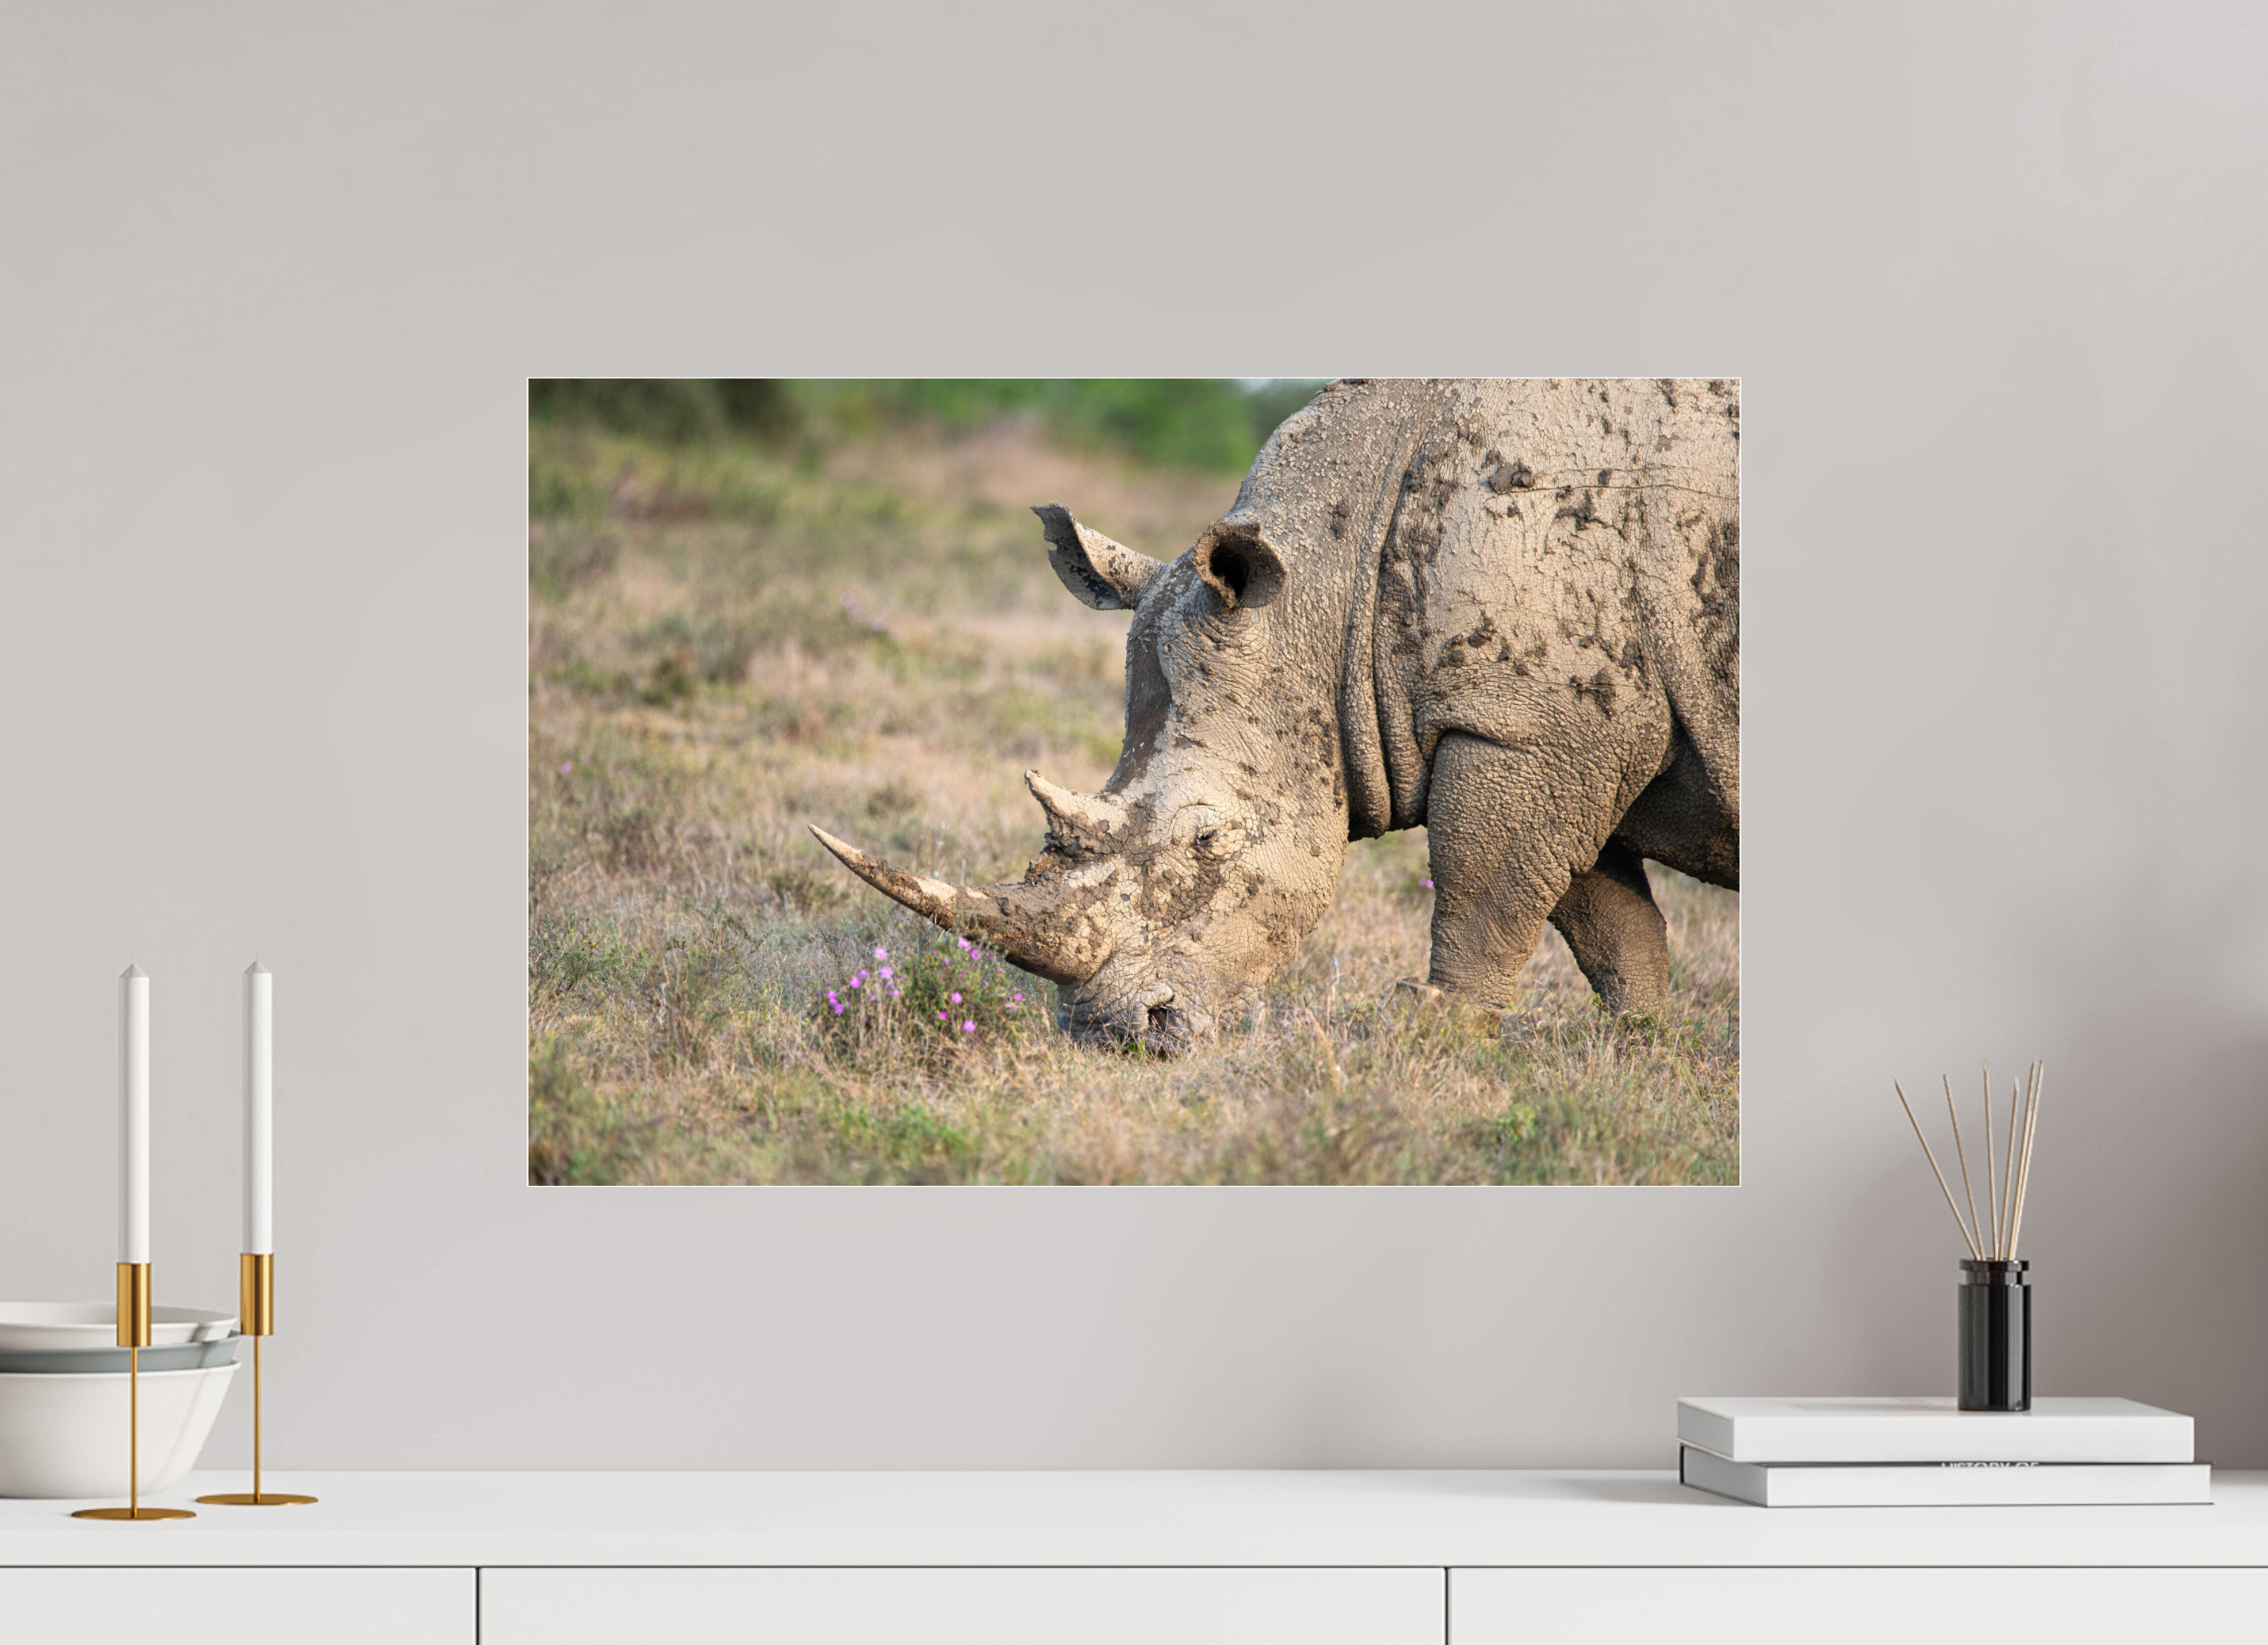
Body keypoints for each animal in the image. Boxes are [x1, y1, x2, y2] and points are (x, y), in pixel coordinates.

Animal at [813, 378, 1738, 1054]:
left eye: (1207, 840)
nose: (1121, 1037)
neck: (1331, 593)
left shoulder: (1525, 725)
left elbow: (1486, 888)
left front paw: (1438, 1037)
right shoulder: (1558, 727)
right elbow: (1604, 917)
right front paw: (1642, 1049)